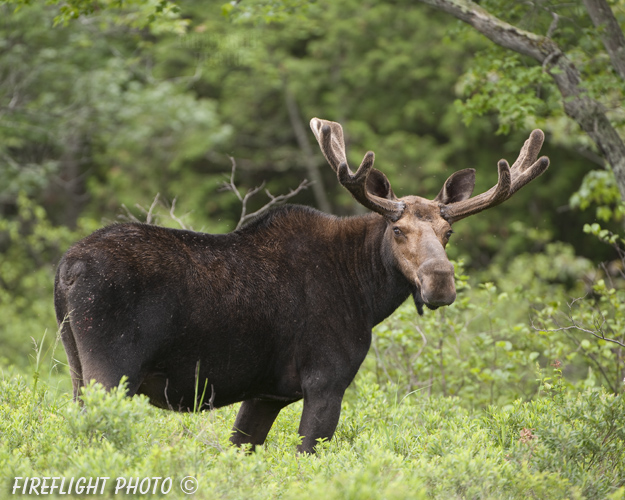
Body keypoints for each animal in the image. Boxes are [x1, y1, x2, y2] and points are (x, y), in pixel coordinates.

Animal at [56, 117, 548, 454]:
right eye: (398, 230)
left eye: (449, 233)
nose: (440, 283)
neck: (365, 294)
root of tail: (65, 269)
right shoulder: (326, 381)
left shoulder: (265, 394)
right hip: (110, 370)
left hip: (79, 368)